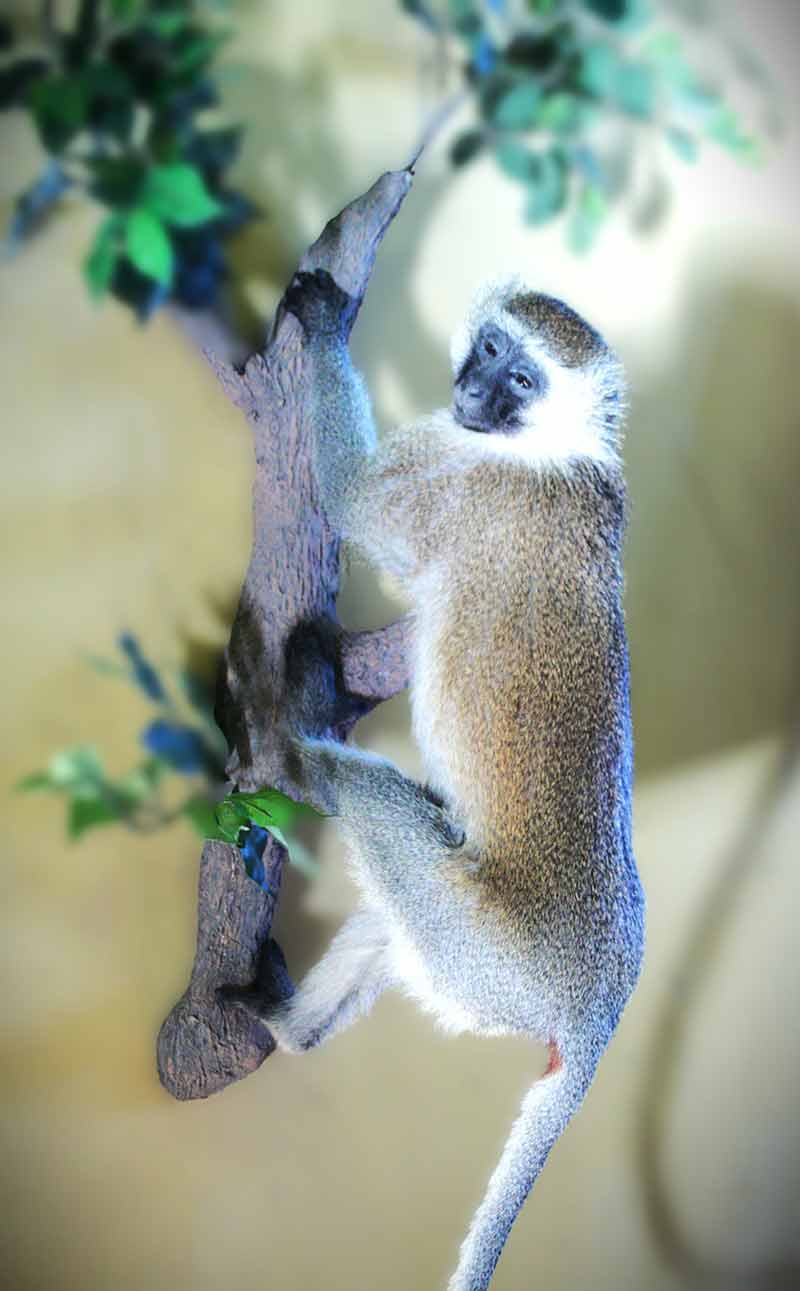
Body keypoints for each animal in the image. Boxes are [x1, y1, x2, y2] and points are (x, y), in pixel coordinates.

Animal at [268, 264, 642, 1291]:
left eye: (521, 380)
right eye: (491, 348)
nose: (476, 392)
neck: (560, 452)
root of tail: (599, 1001)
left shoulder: (457, 474)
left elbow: (351, 496)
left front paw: (324, 325)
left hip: (481, 946)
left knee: (368, 805)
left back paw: (289, 742)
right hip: (465, 954)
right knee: (392, 908)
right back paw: (286, 1032)